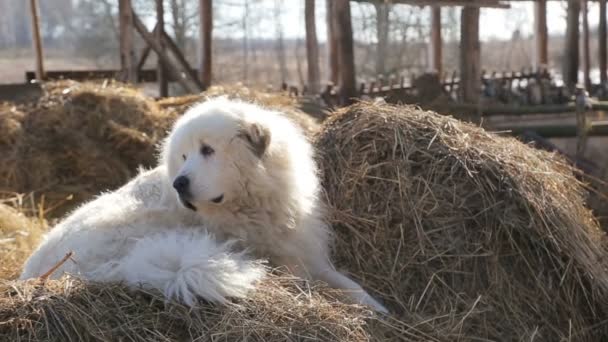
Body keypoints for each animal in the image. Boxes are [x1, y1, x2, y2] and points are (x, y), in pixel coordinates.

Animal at [22, 97, 390, 312]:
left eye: (208, 150)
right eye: (184, 157)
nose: (178, 183)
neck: (251, 206)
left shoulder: (307, 254)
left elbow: (351, 285)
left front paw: (381, 309)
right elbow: (313, 284)